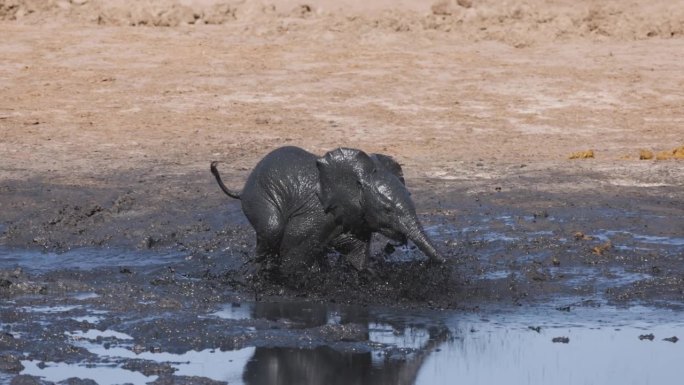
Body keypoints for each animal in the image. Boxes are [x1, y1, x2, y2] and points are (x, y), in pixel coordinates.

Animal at [211, 146, 446, 276]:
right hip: (260, 196)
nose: (446, 265)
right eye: (387, 210)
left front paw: (368, 275)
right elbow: (293, 253)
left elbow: (356, 251)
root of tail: (242, 190)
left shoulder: (355, 215)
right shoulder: (317, 213)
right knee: (272, 229)